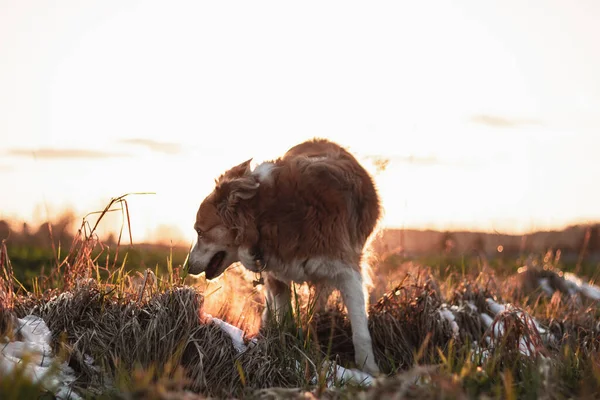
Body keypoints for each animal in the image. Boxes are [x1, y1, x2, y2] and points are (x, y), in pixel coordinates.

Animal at [189, 138, 380, 376]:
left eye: (200, 232)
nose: (188, 266)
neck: (269, 214)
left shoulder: (347, 272)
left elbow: (360, 328)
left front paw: (369, 370)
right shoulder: (276, 273)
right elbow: (283, 315)